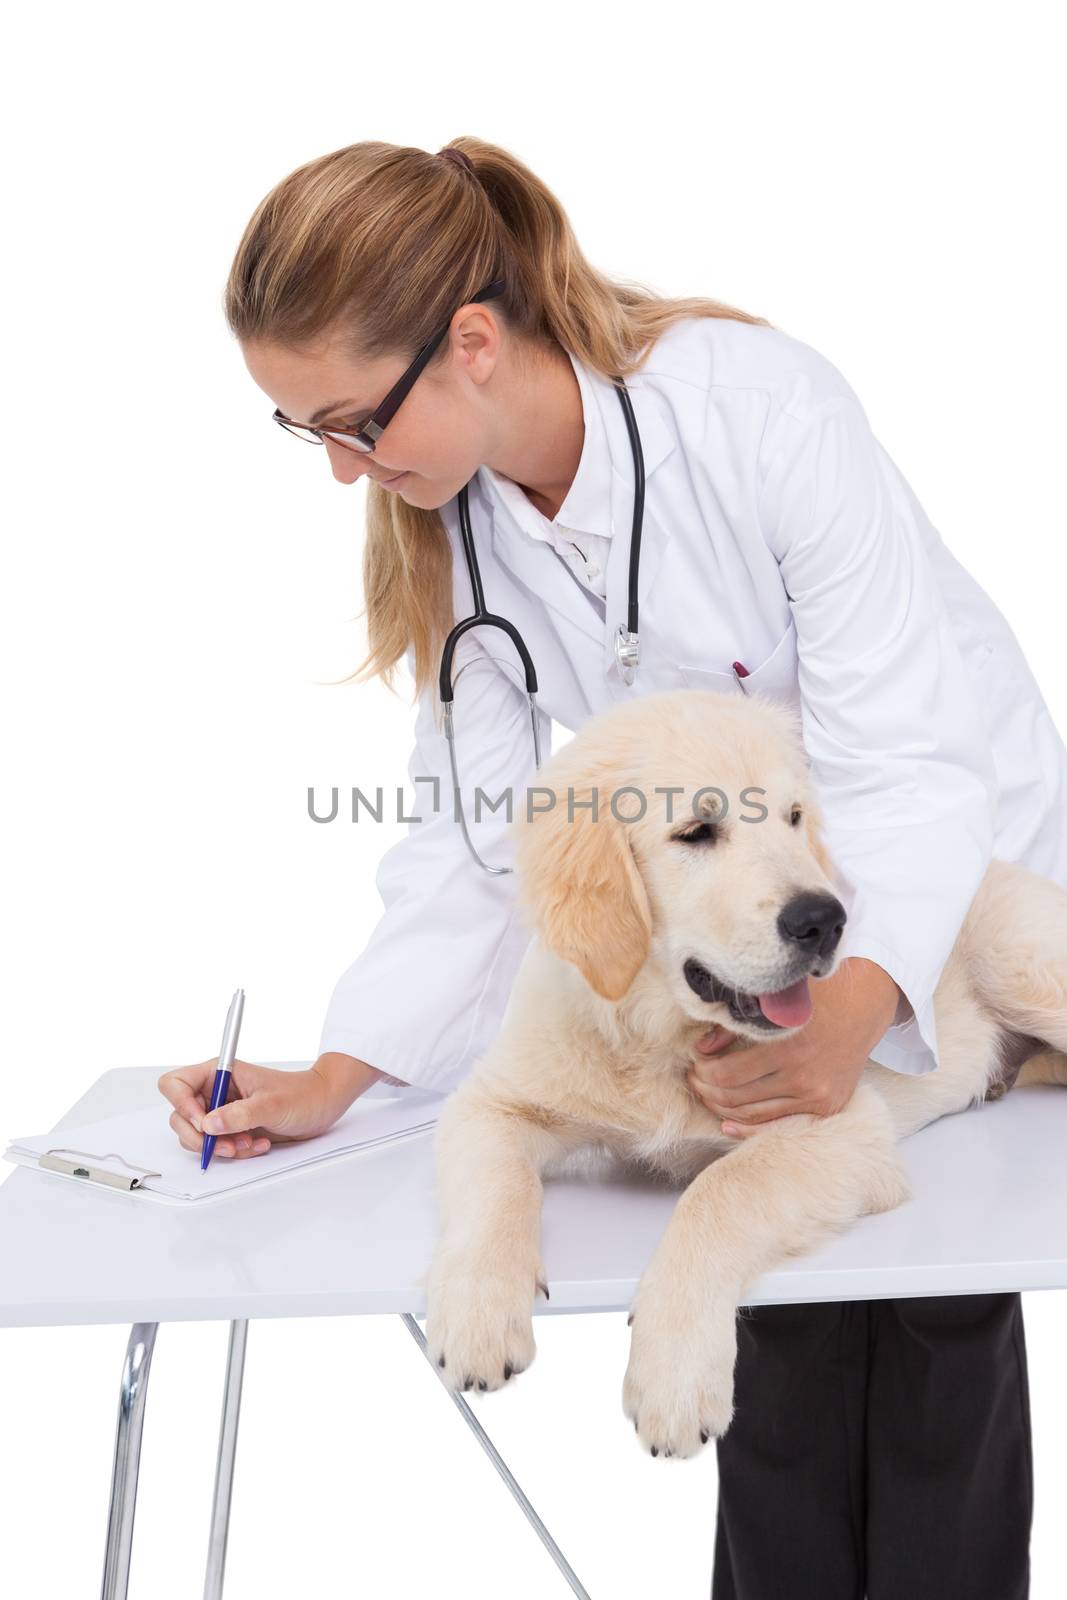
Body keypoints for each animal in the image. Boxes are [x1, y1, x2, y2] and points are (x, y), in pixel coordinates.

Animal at [425, 681, 1067, 1459]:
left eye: (793, 818)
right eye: (696, 832)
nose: (824, 921)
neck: (658, 1037)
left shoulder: (843, 1130)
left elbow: (718, 1192)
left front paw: (673, 1376)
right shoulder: (492, 1100)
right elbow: (497, 1183)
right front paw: (477, 1313)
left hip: (1020, 963)